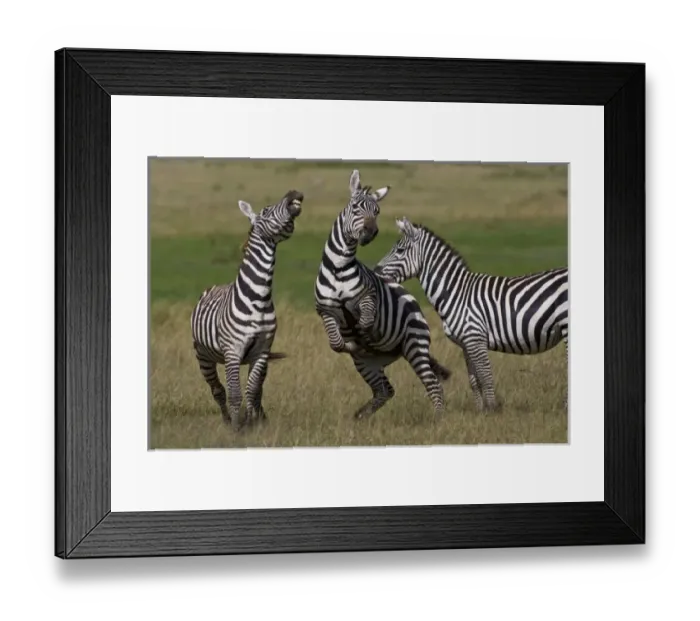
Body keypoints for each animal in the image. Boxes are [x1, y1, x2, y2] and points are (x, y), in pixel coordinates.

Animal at [190, 189, 304, 430]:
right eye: (266, 211)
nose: (295, 193)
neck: (258, 298)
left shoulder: (262, 351)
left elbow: (252, 391)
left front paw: (253, 424)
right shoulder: (233, 350)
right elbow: (235, 394)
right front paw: (237, 429)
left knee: (257, 390)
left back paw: (260, 417)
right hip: (203, 356)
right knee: (218, 390)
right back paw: (226, 421)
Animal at [314, 169, 452, 420]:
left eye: (377, 211)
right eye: (355, 207)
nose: (371, 232)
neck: (338, 268)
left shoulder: (368, 297)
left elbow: (366, 322)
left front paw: (364, 335)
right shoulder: (325, 309)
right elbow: (336, 343)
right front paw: (352, 344)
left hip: (414, 345)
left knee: (433, 384)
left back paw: (439, 418)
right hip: (367, 365)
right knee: (384, 390)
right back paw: (359, 416)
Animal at [374, 217, 568, 413]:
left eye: (400, 250)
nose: (375, 272)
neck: (456, 293)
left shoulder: (476, 338)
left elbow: (486, 378)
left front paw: (492, 411)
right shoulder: (466, 343)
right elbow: (474, 381)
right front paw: (480, 411)